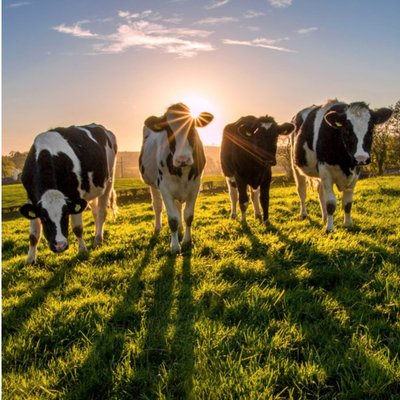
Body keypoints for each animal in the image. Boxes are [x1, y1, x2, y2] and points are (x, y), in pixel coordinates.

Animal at [19, 123, 118, 264]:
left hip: (109, 179)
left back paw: (98, 239)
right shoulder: (31, 199)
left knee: (101, 212)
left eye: (66, 215)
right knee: (95, 211)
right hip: (91, 189)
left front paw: (82, 251)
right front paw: (30, 260)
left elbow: (77, 228)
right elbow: (33, 234)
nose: (60, 245)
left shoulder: (75, 194)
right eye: (44, 218)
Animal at [138, 103, 212, 253]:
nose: (182, 159)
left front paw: (187, 241)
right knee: (157, 206)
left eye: (192, 127)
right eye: (168, 130)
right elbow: (172, 219)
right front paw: (174, 246)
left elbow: (188, 215)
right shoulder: (164, 187)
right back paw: (157, 228)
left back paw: (181, 229)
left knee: (179, 207)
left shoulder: (195, 186)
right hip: (153, 184)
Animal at [292, 98, 392, 233]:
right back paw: (303, 214)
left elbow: (347, 203)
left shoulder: (355, 172)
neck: (345, 162)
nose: (361, 158)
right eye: (347, 130)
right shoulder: (325, 170)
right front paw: (329, 229)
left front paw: (348, 224)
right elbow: (330, 203)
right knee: (301, 191)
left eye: (371, 129)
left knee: (320, 192)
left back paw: (324, 218)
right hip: (296, 167)